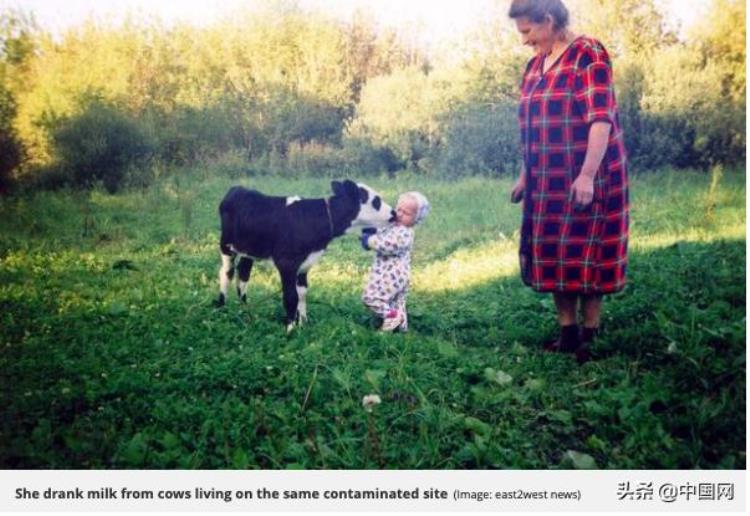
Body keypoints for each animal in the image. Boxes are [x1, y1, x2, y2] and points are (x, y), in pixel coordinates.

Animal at [217, 179, 396, 332]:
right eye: (376, 201)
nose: (394, 213)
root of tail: (238, 188)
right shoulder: (286, 263)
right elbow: (290, 297)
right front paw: (290, 329)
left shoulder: (305, 264)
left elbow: (302, 294)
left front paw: (303, 323)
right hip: (226, 245)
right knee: (226, 273)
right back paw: (221, 307)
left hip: (249, 250)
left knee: (243, 274)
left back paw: (244, 309)